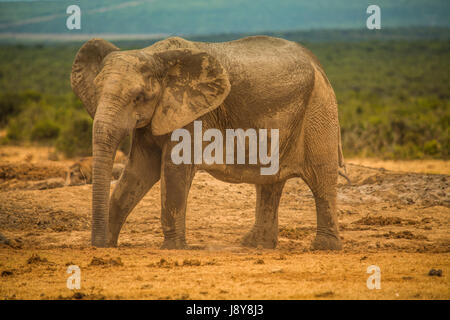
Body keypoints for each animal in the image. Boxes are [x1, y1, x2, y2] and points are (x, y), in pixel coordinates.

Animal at [71, 35, 344, 250]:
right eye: (96, 91)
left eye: (139, 97)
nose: (96, 244)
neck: (155, 55)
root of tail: (318, 64)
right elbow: (139, 171)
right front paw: (108, 244)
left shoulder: (194, 114)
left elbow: (173, 170)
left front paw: (173, 248)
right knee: (270, 181)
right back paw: (255, 245)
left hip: (319, 110)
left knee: (321, 177)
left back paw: (324, 247)